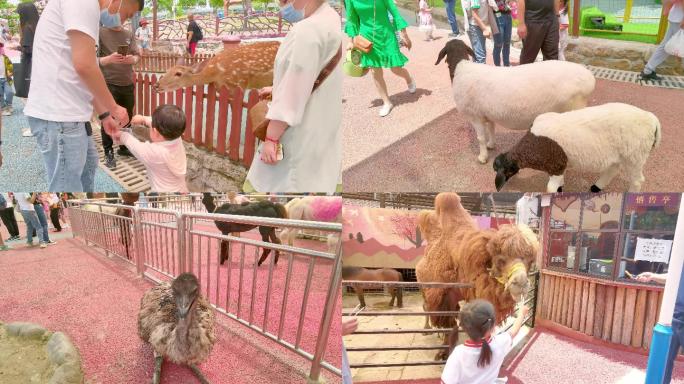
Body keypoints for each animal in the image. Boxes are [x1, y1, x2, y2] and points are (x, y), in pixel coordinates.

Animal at [436, 39, 596, 164]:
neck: (460, 67)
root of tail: (590, 79)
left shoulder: (475, 116)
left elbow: (480, 138)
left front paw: (482, 157)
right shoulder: (487, 114)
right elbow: (491, 129)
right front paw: (491, 145)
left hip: (574, 109)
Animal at [492, 102, 664, 192]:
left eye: (507, 171)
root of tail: (651, 118)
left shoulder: (556, 165)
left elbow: (550, 189)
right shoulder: (559, 166)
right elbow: (558, 183)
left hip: (635, 156)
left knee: (637, 180)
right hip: (621, 155)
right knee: (612, 169)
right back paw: (596, 187)